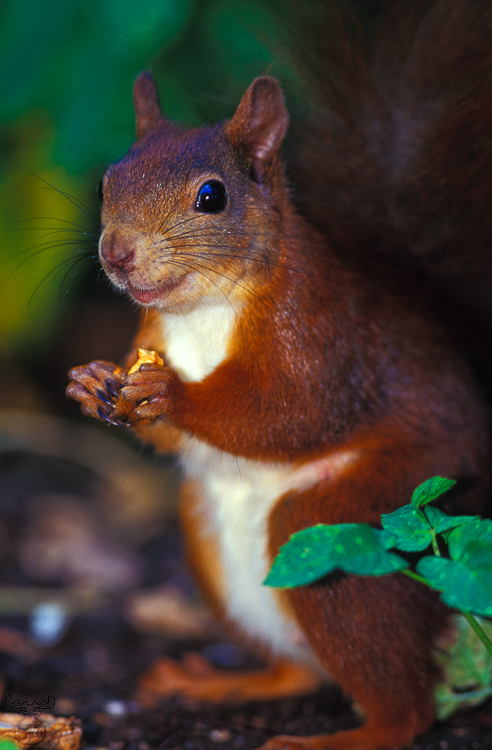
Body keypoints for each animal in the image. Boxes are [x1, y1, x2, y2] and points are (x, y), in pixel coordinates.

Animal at [67, 2, 492, 749]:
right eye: (105, 182)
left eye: (212, 196)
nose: (117, 254)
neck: (202, 310)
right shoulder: (151, 335)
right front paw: (93, 383)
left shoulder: (321, 334)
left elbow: (290, 411)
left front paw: (171, 393)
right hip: (209, 535)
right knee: (299, 672)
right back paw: (221, 683)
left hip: (343, 527)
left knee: (407, 709)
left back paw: (342, 736)